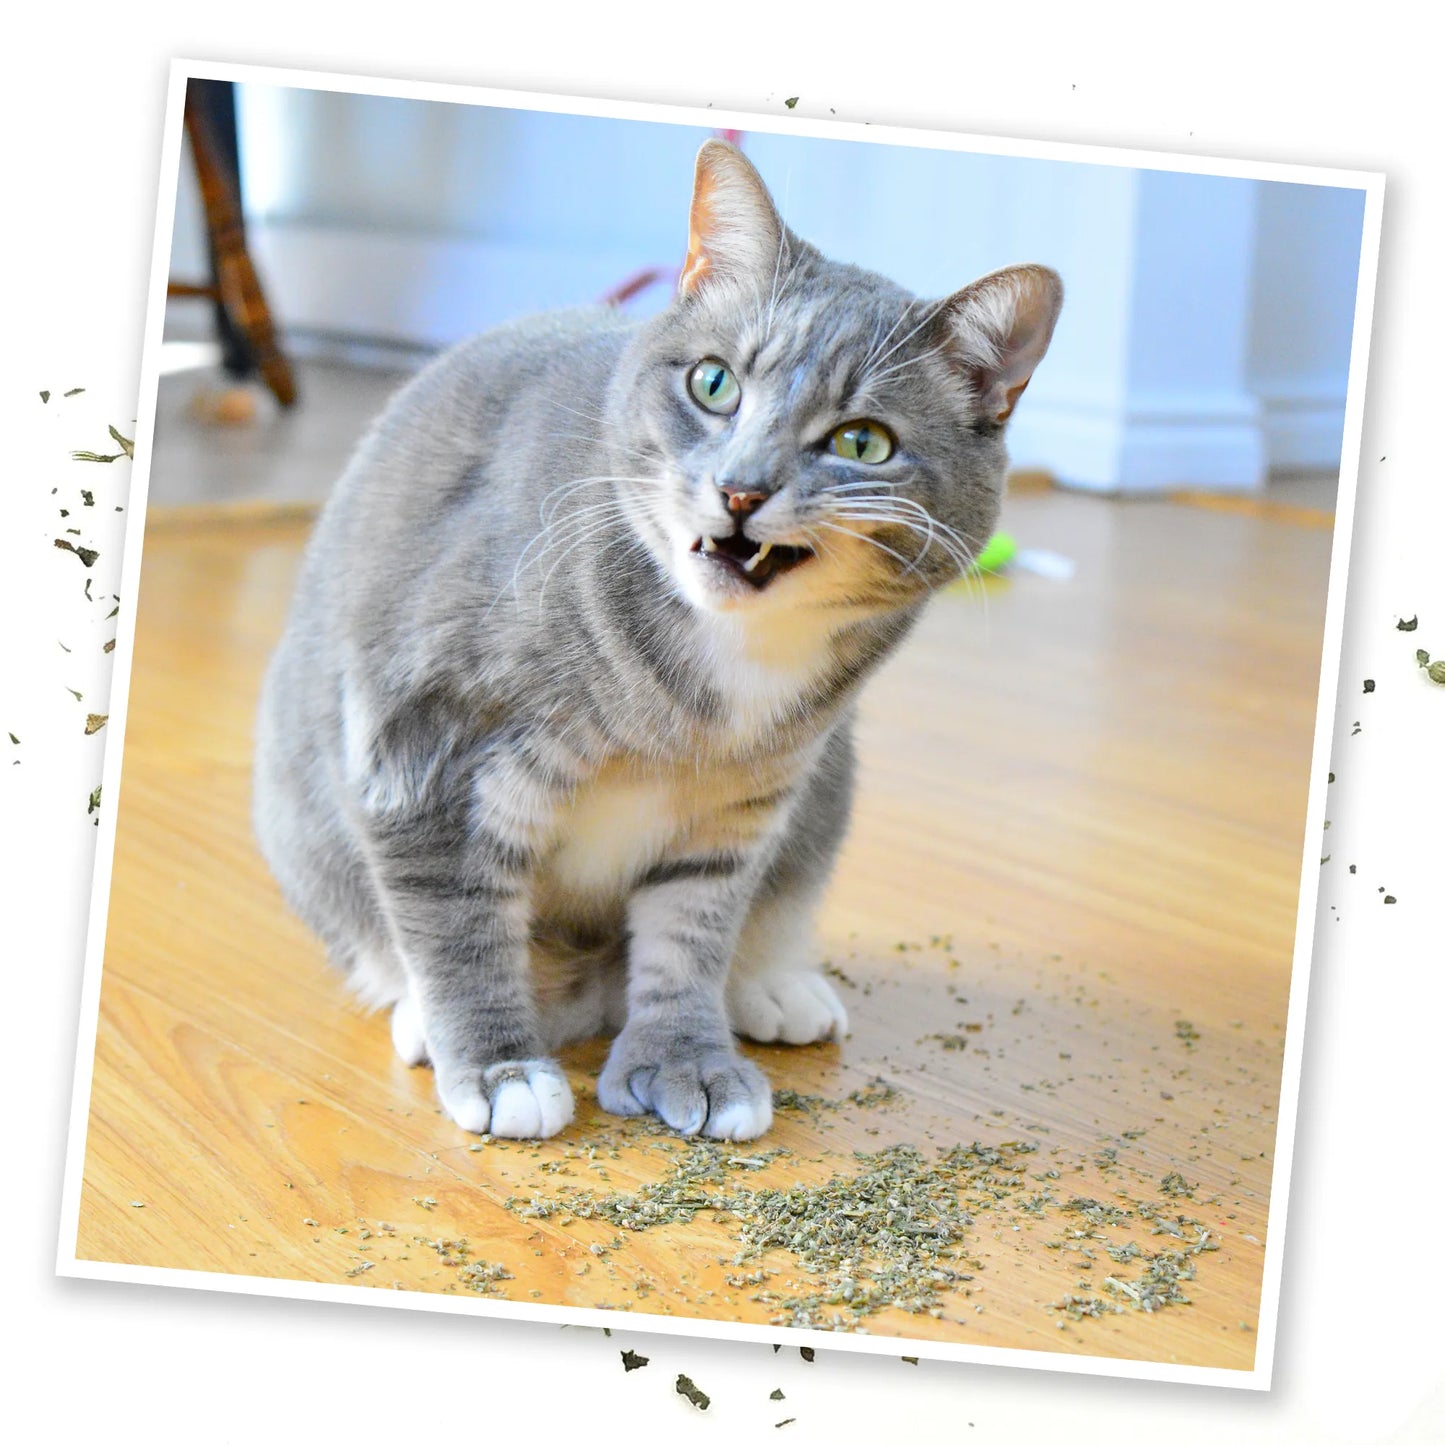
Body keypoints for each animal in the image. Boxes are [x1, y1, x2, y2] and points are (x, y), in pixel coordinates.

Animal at [251, 140, 1063, 1144]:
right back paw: (423, 1016)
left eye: (863, 442)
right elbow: (456, 921)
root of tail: (584, 995)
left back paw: (770, 985)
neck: (720, 656)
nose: (742, 489)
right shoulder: (423, 748)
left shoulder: (739, 809)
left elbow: (689, 936)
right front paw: (499, 1069)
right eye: (713, 384)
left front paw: (686, 1058)